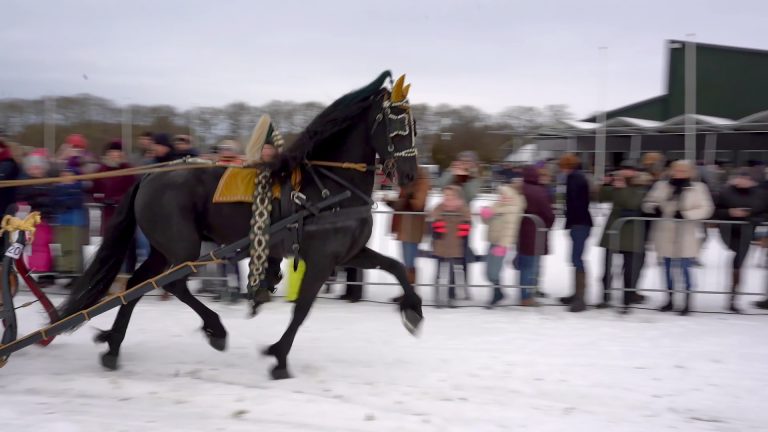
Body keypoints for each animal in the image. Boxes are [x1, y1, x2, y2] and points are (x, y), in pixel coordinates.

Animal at [58, 71, 424, 379]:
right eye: (397, 125)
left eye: (414, 125)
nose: (409, 176)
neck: (328, 188)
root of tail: (150, 175)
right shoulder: (320, 261)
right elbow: (302, 309)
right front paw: (279, 357)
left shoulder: (349, 254)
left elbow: (395, 266)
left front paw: (413, 310)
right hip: (182, 247)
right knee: (172, 285)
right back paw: (215, 329)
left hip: (164, 249)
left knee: (135, 286)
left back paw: (113, 346)